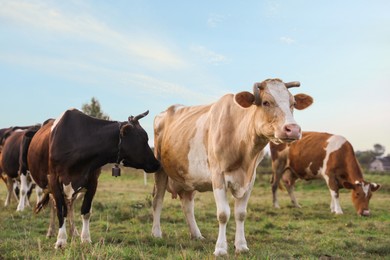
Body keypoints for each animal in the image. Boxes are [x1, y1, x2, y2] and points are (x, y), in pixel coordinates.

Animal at [31, 108, 160, 249]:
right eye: (143, 138)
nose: (157, 163)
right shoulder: (54, 180)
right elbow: (60, 209)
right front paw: (61, 241)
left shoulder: (93, 181)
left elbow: (86, 211)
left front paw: (85, 239)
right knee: (56, 206)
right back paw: (51, 232)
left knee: (70, 205)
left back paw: (74, 232)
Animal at [152, 77, 314, 256]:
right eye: (266, 102)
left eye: (293, 103)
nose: (293, 129)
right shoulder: (218, 176)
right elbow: (223, 214)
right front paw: (221, 248)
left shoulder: (250, 179)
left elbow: (240, 214)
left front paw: (241, 245)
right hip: (160, 168)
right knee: (157, 200)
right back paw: (156, 233)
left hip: (189, 176)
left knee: (187, 204)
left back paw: (197, 235)